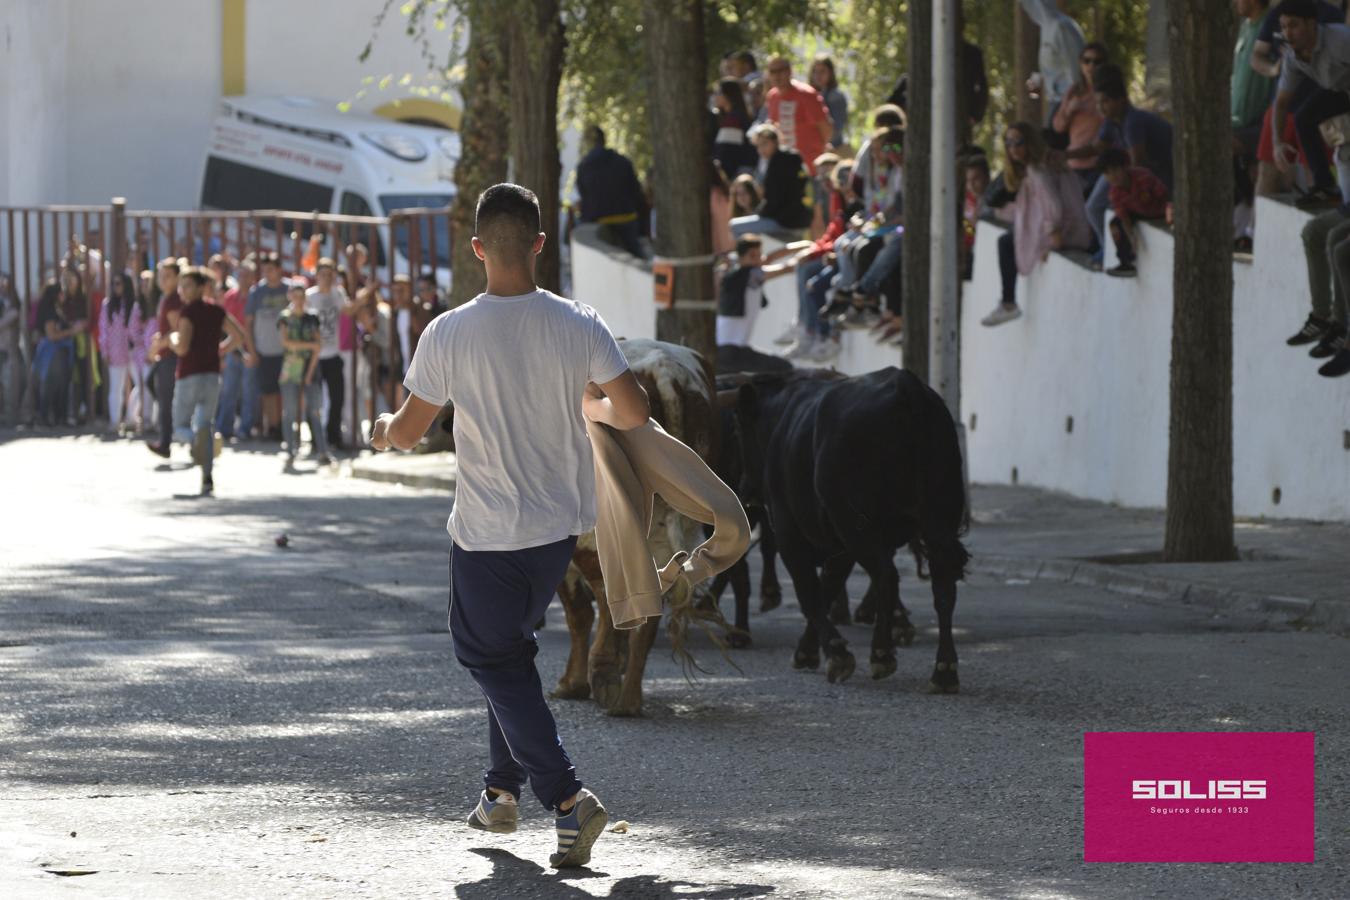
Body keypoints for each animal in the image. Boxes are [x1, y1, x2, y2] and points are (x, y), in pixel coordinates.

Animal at [729, 369, 972, 696]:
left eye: (739, 430)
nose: (743, 489)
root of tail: (906, 385)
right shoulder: (840, 545)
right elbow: (828, 587)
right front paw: (807, 651)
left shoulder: (790, 533)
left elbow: (810, 592)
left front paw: (835, 653)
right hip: (936, 520)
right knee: (942, 585)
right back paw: (944, 671)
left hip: (857, 525)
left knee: (886, 576)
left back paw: (882, 653)